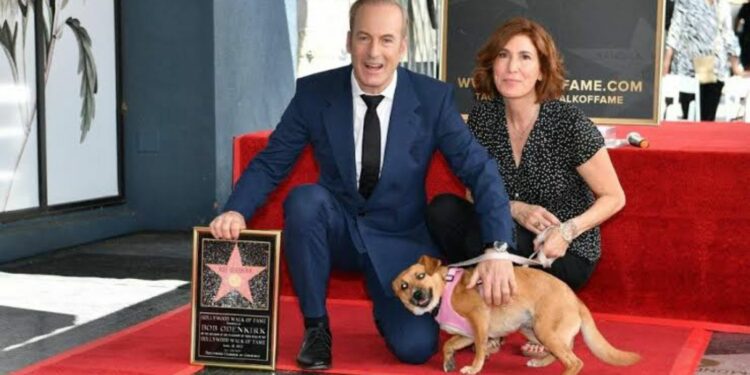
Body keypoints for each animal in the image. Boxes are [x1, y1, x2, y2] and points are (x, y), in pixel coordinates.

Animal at [394, 258, 640, 375]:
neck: (445, 291)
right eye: (404, 286)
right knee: (563, 351)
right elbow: (449, 345)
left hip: (544, 330)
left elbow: (480, 351)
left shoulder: (479, 321)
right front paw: (448, 361)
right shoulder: (467, 334)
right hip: (533, 330)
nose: (416, 295)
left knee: (574, 361)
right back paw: (539, 362)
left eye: (421, 276)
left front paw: (474, 368)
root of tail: (575, 299)